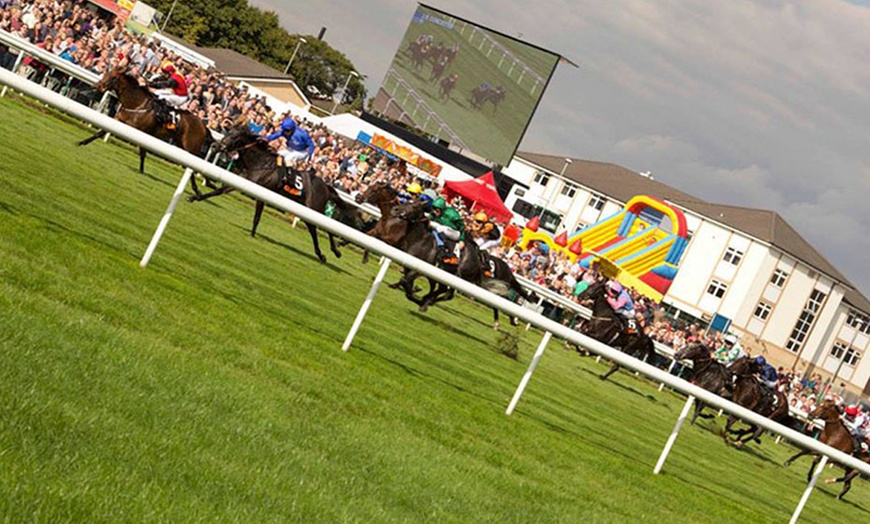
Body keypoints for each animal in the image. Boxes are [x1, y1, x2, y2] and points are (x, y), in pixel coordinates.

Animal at [79, 65, 214, 182]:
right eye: (106, 73)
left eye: (113, 77)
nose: (97, 86)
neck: (137, 104)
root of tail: (203, 126)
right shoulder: (120, 122)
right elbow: (101, 132)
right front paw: (82, 142)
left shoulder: (137, 130)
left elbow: (142, 151)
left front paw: (141, 170)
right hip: (181, 143)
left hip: (191, 148)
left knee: (194, 167)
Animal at [195, 123, 350, 262]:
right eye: (227, 132)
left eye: (234, 137)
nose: (215, 146)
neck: (260, 164)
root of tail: (326, 186)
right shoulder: (241, 182)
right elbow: (219, 191)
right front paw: (196, 197)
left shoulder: (262, 193)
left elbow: (257, 216)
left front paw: (252, 234)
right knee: (314, 230)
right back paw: (322, 254)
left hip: (315, 208)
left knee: (328, 228)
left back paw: (335, 251)